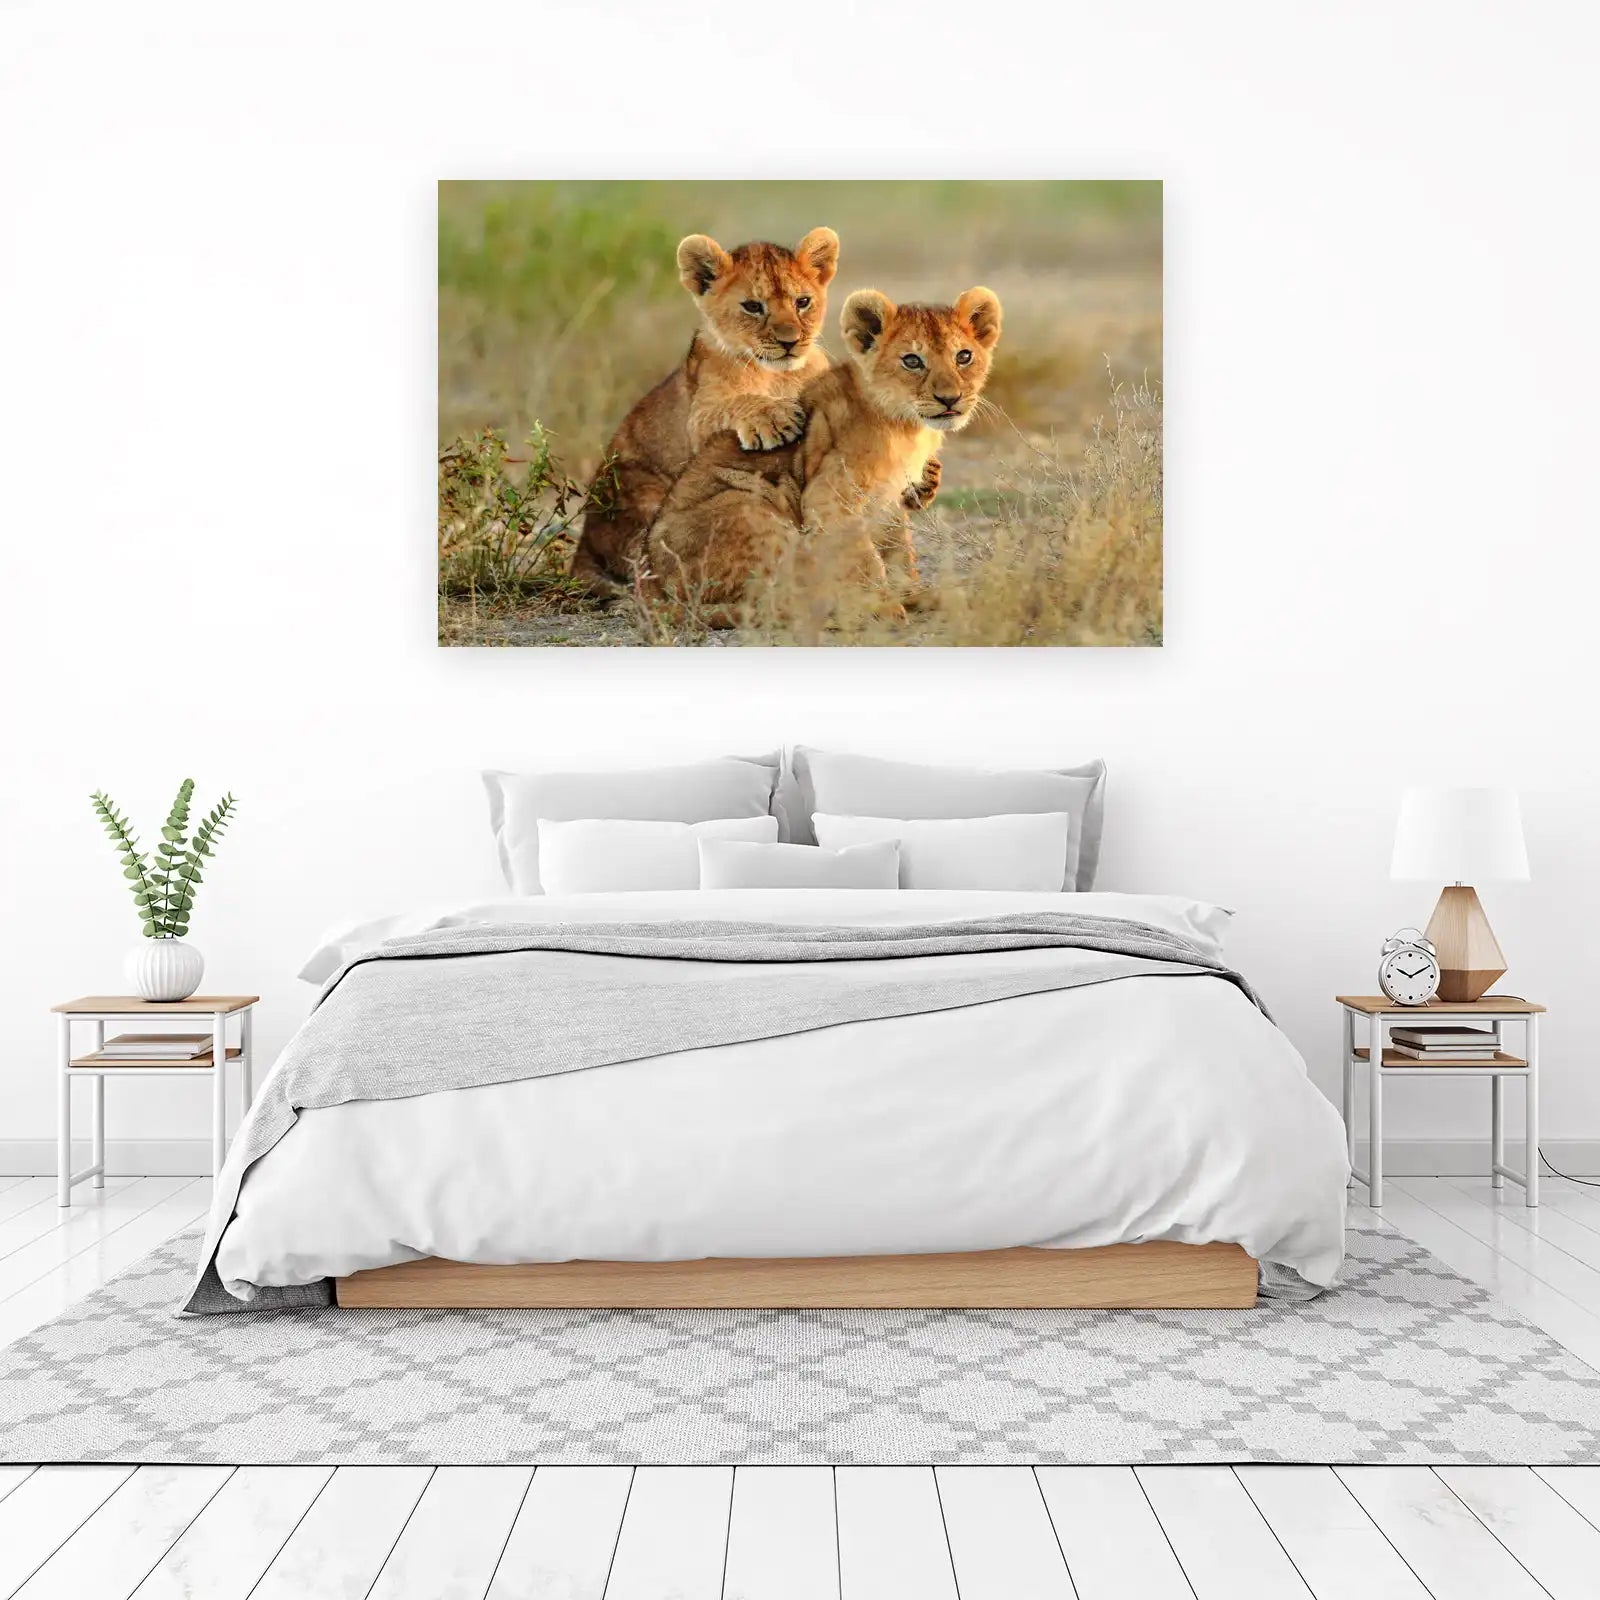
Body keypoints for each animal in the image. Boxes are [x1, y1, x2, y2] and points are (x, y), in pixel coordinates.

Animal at [567, 227, 840, 595]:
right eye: (753, 307)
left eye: (803, 302)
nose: (790, 341)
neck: (778, 375)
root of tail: (583, 544)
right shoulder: (699, 417)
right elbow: (733, 405)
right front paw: (775, 417)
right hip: (640, 494)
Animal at [642, 286, 1002, 630]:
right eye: (912, 361)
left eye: (964, 356)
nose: (950, 399)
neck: (909, 428)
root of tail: (652, 586)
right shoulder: (830, 496)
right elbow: (863, 558)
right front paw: (880, 607)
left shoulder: (889, 500)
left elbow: (897, 551)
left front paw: (912, 593)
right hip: (750, 506)